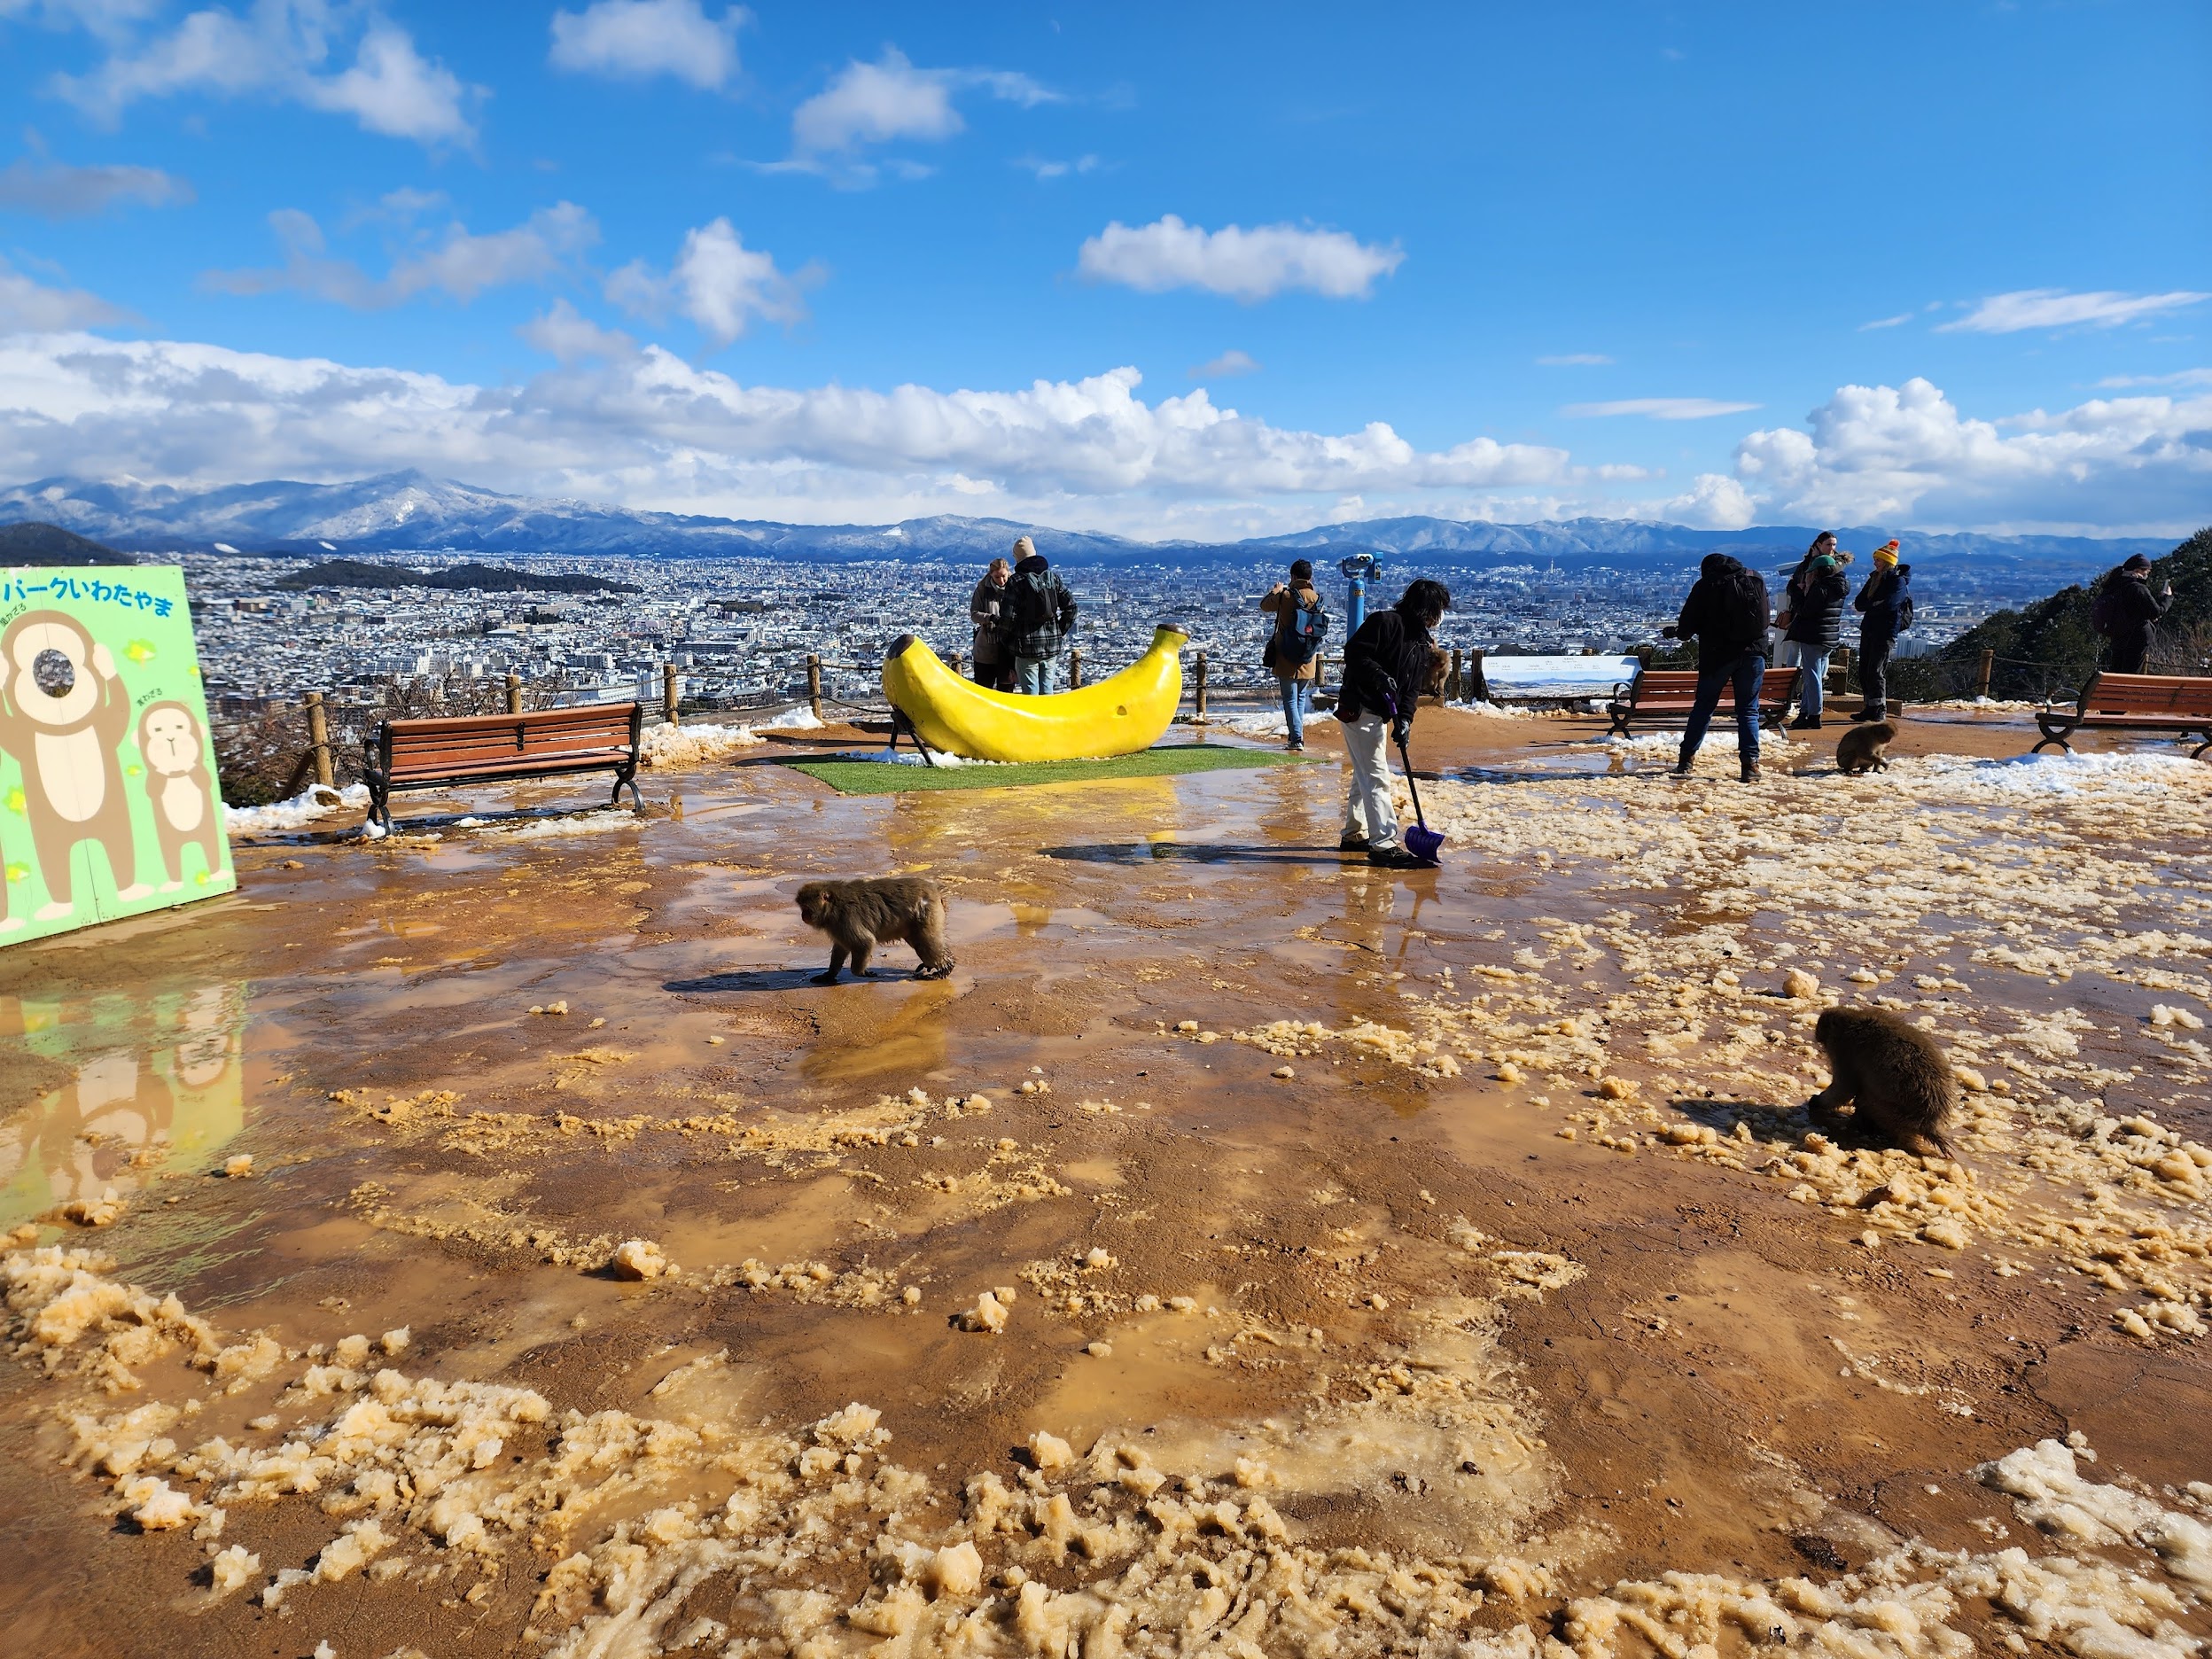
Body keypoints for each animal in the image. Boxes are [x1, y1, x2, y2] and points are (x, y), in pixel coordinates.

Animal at [0, 610, 149, 919]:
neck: (62, 727)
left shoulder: (104, 726)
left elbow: (120, 713)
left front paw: (104, 660)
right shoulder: (22, 739)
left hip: (113, 816)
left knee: (121, 849)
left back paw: (132, 891)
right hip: (50, 831)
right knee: (54, 865)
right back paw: (57, 909)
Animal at [796, 877, 954, 984]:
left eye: (806, 909)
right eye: (802, 908)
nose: (803, 916)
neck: (833, 906)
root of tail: (936, 890)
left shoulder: (845, 919)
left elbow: (864, 942)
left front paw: (861, 972)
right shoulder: (837, 927)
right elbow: (841, 948)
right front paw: (829, 975)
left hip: (927, 913)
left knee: (926, 944)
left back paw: (945, 968)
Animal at [1806, 1006, 1956, 1157]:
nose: (1819, 1040)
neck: (1849, 1021)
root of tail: (1928, 1123)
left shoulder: (1843, 1048)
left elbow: (1845, 1088)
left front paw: (1816, 1101)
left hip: (1889, 1112)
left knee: (1865, 1098)